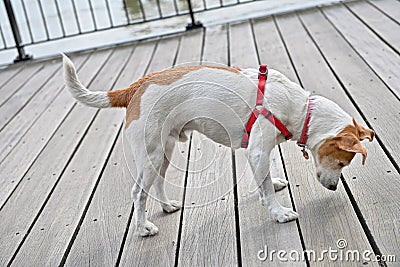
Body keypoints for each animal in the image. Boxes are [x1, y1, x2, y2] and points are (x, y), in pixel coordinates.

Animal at [61, 54, 374, 237]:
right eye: (341, 162)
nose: (333, 188)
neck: (298, 107)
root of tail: (136, 86)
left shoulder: (265, 149)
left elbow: (268, 175)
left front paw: (272, 182)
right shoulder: (258, 151)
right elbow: (266, 192)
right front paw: (279, 213)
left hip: (164, 150)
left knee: (158, 183)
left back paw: (167, 206)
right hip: (150, 154)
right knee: (138, 193)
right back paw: (142, 228)